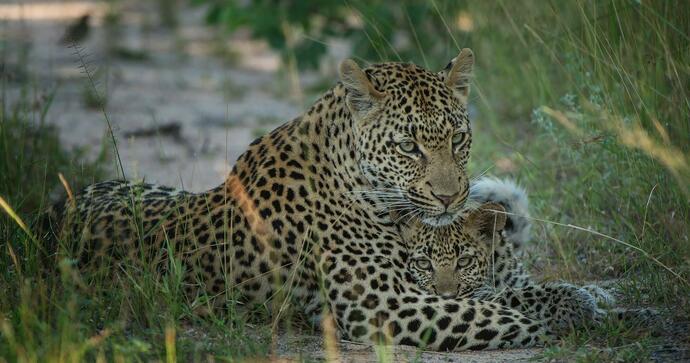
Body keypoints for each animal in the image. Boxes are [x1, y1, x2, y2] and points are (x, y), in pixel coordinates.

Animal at [48, 49, 584, 352]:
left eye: (457, 138)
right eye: (408, 146)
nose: (452, 197)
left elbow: (502, 292)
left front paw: (584, 298)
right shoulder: (388, 306)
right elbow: (498, 311)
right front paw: (579, 318)